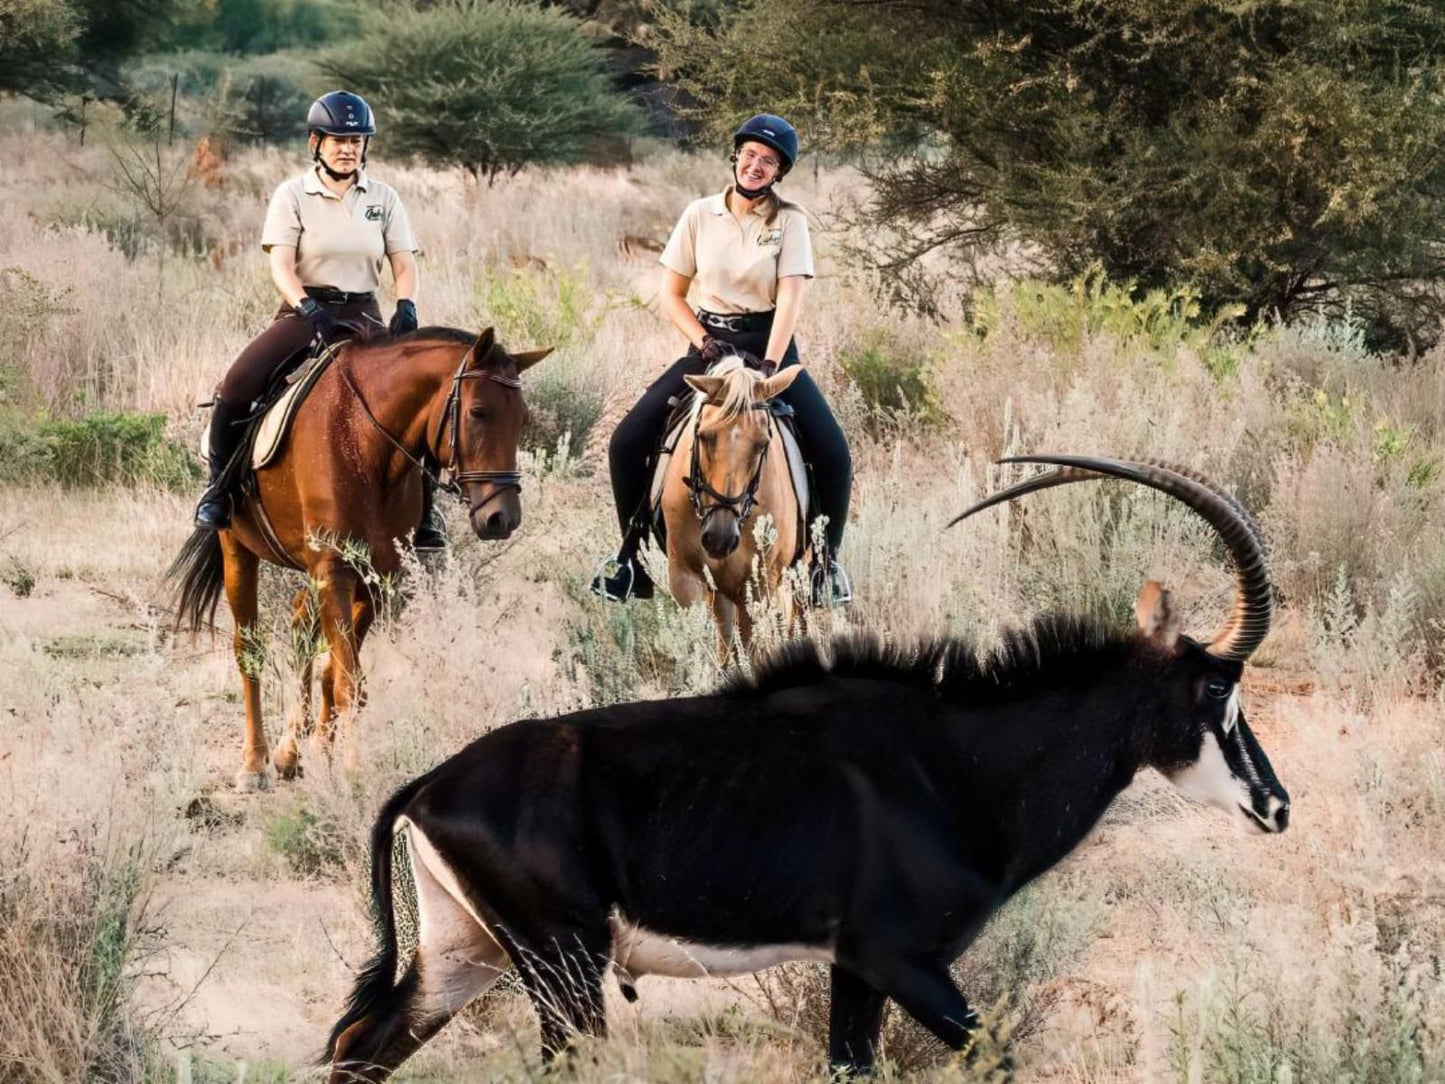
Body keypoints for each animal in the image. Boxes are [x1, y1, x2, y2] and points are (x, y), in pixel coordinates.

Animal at [167, 326, 546, 792]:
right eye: (478, 412)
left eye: (522, 419)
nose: (502, 518)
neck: (365, 441)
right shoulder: (335, 570)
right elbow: (348, 680)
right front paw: (353, 769)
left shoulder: (380, 576)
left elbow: (339, 674)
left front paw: (324, 750)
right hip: (236, 546)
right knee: (249, 646)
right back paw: (255, 763)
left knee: (300, 624)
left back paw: (290, 750)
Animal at [325, 456, 1288, 1081]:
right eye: (1217, 685)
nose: (1276, 807)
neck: (958, 762)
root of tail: (425, 788)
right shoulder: (903, 961)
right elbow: (997, 1057)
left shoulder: (854, 970)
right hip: (561, 965)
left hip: (467, 952)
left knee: (359, 1050)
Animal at [661, 361, 809, 659]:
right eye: (703, 436)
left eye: (762, 444)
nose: (720, 538)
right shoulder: (684, 577)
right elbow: (700, 644)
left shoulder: (758, 587)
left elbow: (749, 651)